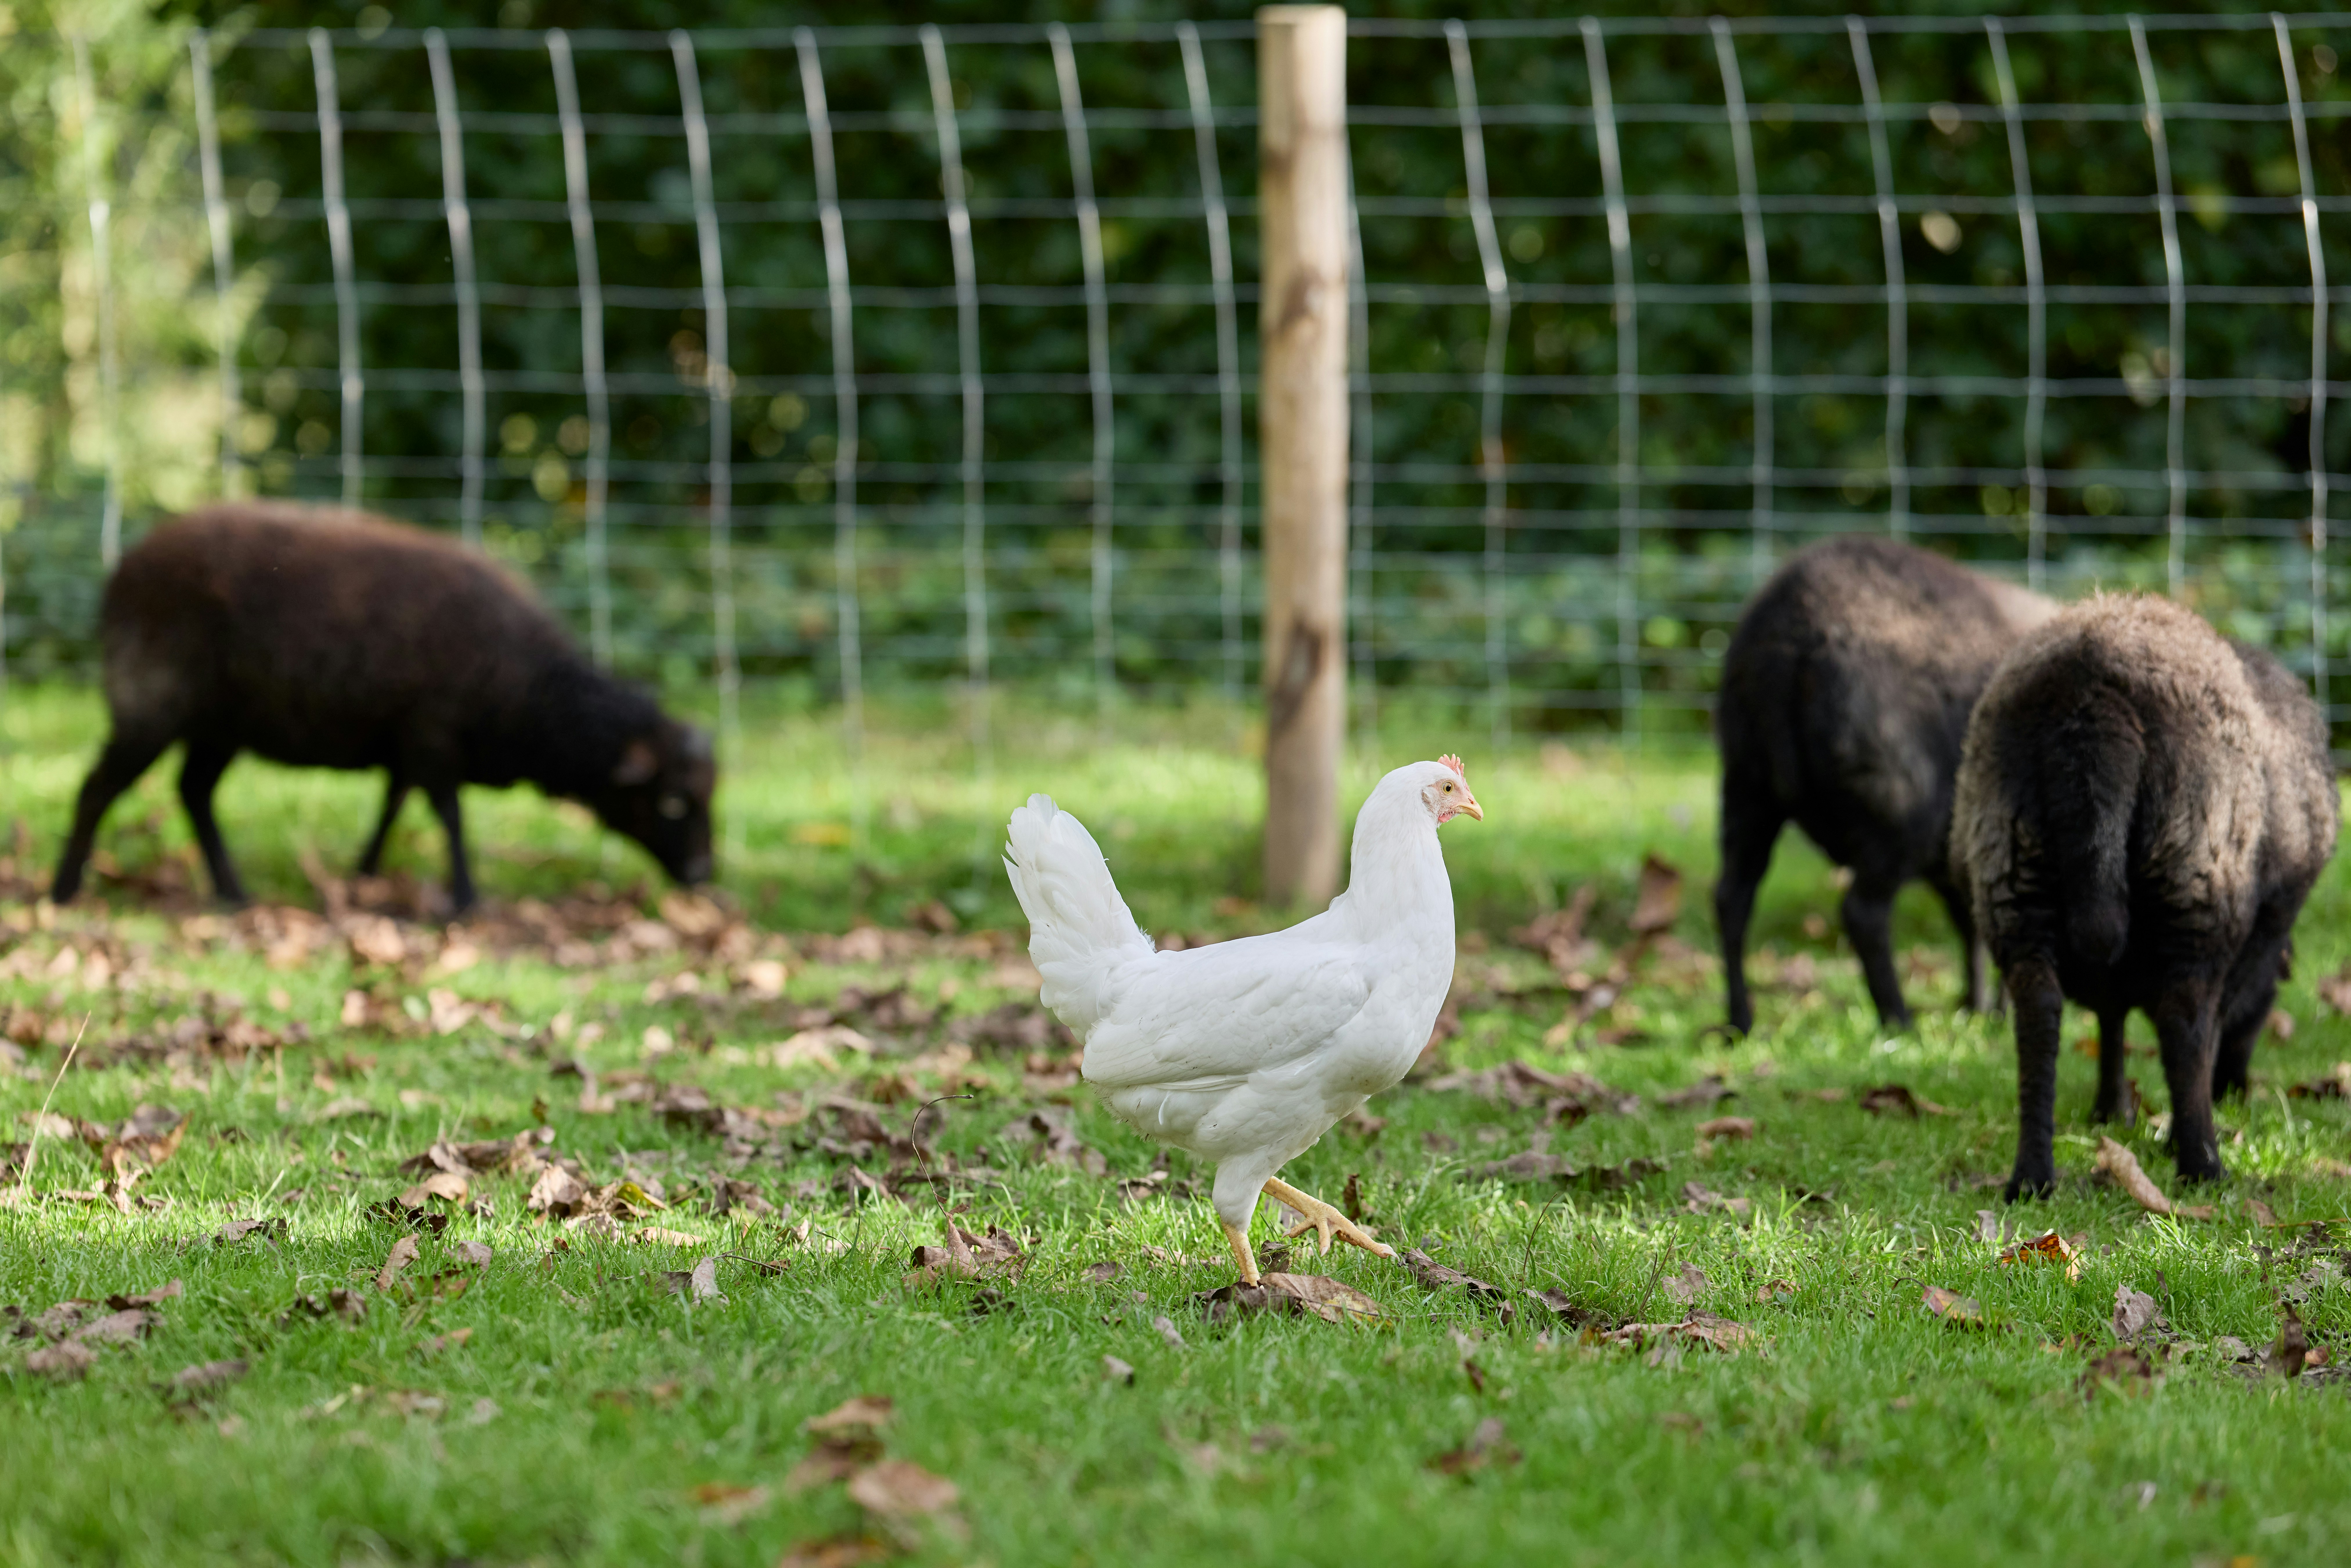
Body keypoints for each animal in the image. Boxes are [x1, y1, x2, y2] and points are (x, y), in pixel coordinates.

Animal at [49, 501, 716, 913]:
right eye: (672, 800)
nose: (705, 873)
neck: (527, 692)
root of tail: (122, 571)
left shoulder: (406, 740)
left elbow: (393, 806)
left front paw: (364, 876)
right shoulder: (432, 731)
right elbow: (449, 814)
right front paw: (466, 899)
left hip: (222, 722)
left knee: (193, 791)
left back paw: (233, 894)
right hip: (151, 701)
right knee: (98, 786)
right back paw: (63, 888)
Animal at [1713, 536, 2054, 1034]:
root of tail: (1788, 635)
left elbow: (1971, 926)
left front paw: (1978, 1008)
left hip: (1745, 790)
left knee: (1732, 901)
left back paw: (1740, 1021)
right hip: (1897, 811)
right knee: (1863, 914)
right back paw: (1897, 1020)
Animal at [1950, 593, 2337, 1198]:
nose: (2235, 1090)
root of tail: (2093, 708)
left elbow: (2110, 1019)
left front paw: (2110, 1111)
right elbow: (2199, 1032)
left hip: (2009, 870)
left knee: (2037, 1014)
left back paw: (2032, 1175)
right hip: (2197, 874)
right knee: (2183, 1019)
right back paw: (2202, 1165)